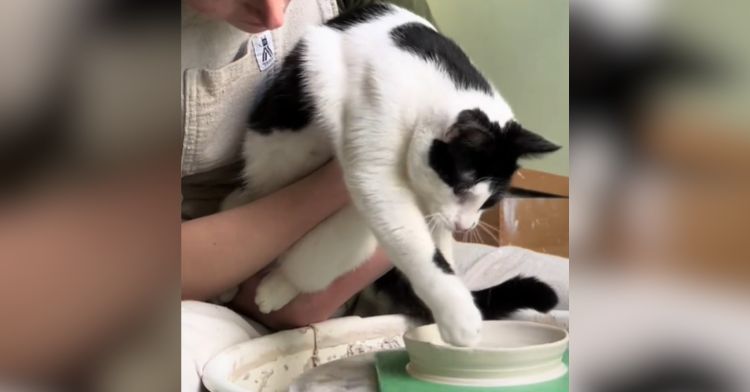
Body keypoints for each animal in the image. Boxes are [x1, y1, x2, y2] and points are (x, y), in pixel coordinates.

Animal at [226, 3, 560, 346]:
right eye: (462, 186)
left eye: (490, 203)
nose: (464, 226)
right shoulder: (376, 166)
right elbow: (419, 248)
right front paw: (459, 315)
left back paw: (275, 284)